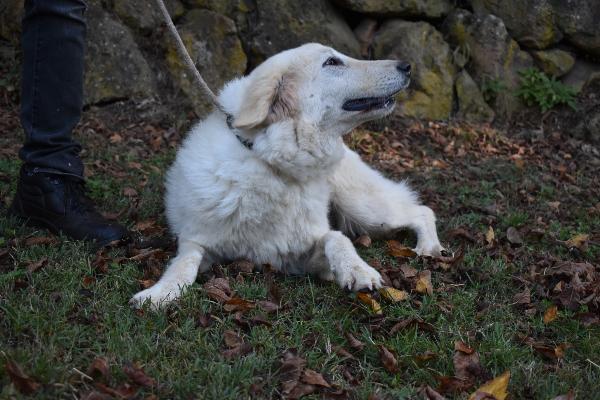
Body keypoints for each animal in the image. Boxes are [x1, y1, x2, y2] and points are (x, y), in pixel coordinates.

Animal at [135, 43, 446, 306]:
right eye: (332, 62)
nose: (407, 66)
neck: (271, 163)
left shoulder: (308, 257)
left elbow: (336, 238)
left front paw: (357, 269)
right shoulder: (196, 240)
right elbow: (184, 263)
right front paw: (160, 293)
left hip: (366, 211)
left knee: (423, 211)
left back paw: (429, 247)